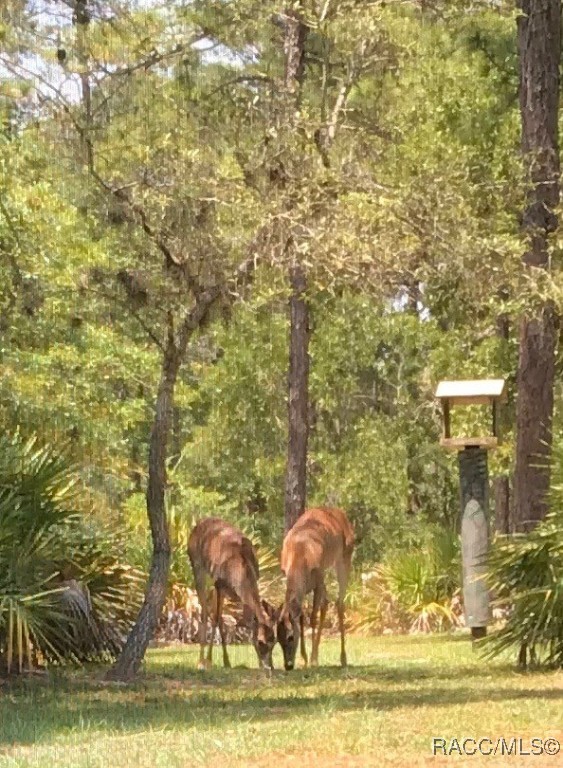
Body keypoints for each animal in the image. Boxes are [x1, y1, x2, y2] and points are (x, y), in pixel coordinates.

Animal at [189, 516, 278, 672]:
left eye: (274, 640)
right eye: (261, 642)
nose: (270, 667)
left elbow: (248, 621)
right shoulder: (219, 584)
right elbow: (217, 619)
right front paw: (212, 660)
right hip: (197, 566)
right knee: (205, 612)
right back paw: (201, 661)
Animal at [276, 510, 354, 672]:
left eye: (290, 637)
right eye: (277, 638)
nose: (288, 665)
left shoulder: (318, 577)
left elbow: (312, 618)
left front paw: (311, 660)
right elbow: (301, 616)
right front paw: (304, 659)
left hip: (344, 557)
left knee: (339, 602)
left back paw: (343, 659)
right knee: (326, 602)